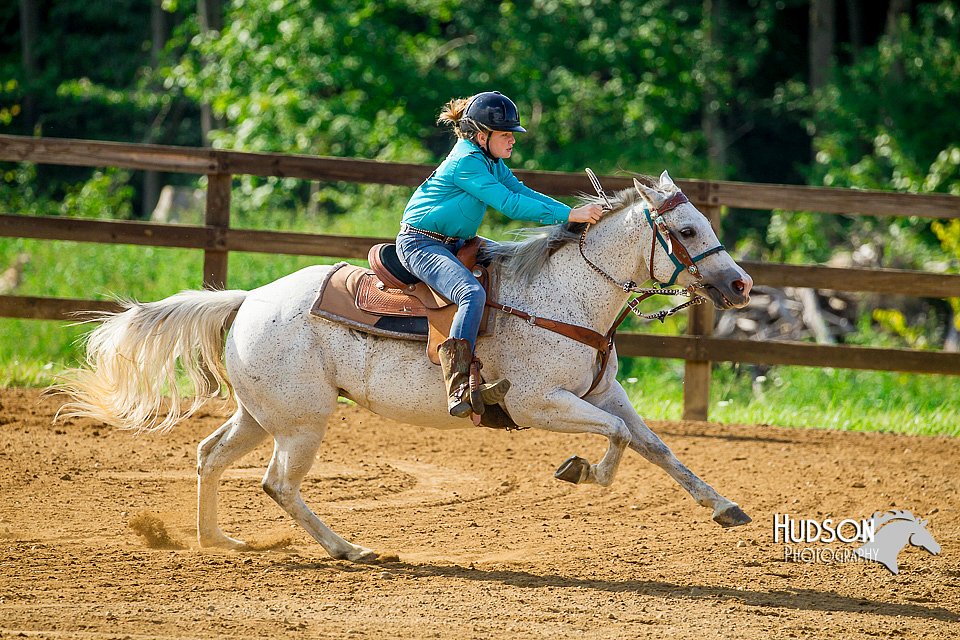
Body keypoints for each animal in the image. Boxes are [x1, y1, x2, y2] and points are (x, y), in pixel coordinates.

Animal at [56, 170, 752, 560]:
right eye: (688, 230)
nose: (740, 285)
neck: (563, 296)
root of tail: (249, 298)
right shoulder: (537, 403)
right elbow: (615, 442)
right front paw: (581, 471)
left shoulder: (605, 393)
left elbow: (655, 446)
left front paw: (724, 508)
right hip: (302, 422)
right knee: (277, 484)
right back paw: (349, 549)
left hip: (263, 412)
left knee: (210, 455)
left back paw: (217, 541)